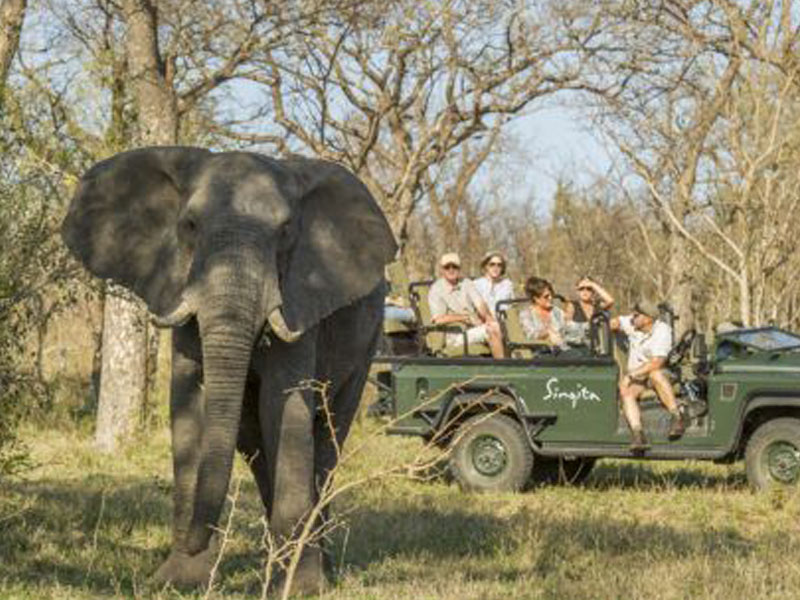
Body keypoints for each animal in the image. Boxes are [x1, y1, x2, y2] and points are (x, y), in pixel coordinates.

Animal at [61, 146, 398, 596]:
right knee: (254, 442)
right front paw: (178, 582)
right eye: (189, 225)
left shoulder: (300, 297)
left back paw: (319, 568)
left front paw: (301, 588)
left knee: (328, 437)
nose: (193, 543)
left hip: (367, 341)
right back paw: (276, 561)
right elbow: (191, 400)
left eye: (286, 230)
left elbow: (283, 405)